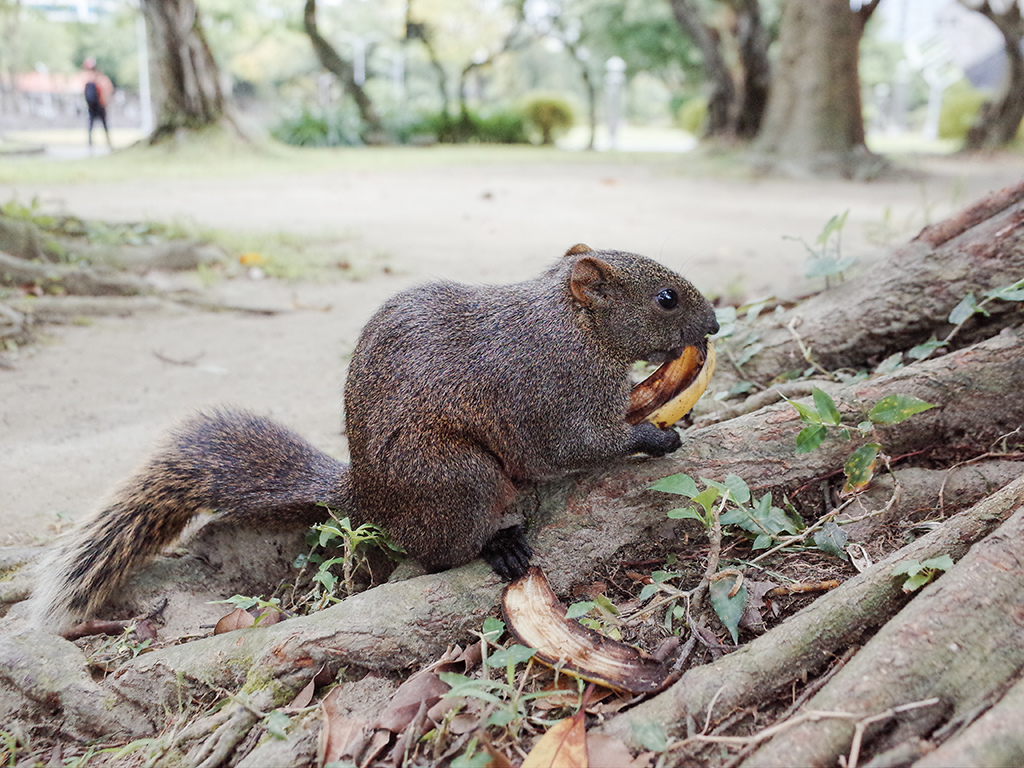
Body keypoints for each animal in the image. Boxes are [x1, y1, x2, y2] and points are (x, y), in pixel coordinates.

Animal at [25, 246, 712, 630]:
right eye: (666, 298)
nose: (715, 325)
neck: (577, 324)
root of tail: (366, 495)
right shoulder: (549, 390)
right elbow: (570, 446)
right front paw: (652, 436)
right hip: (458, 477)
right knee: (440, 553)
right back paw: (498, 545)